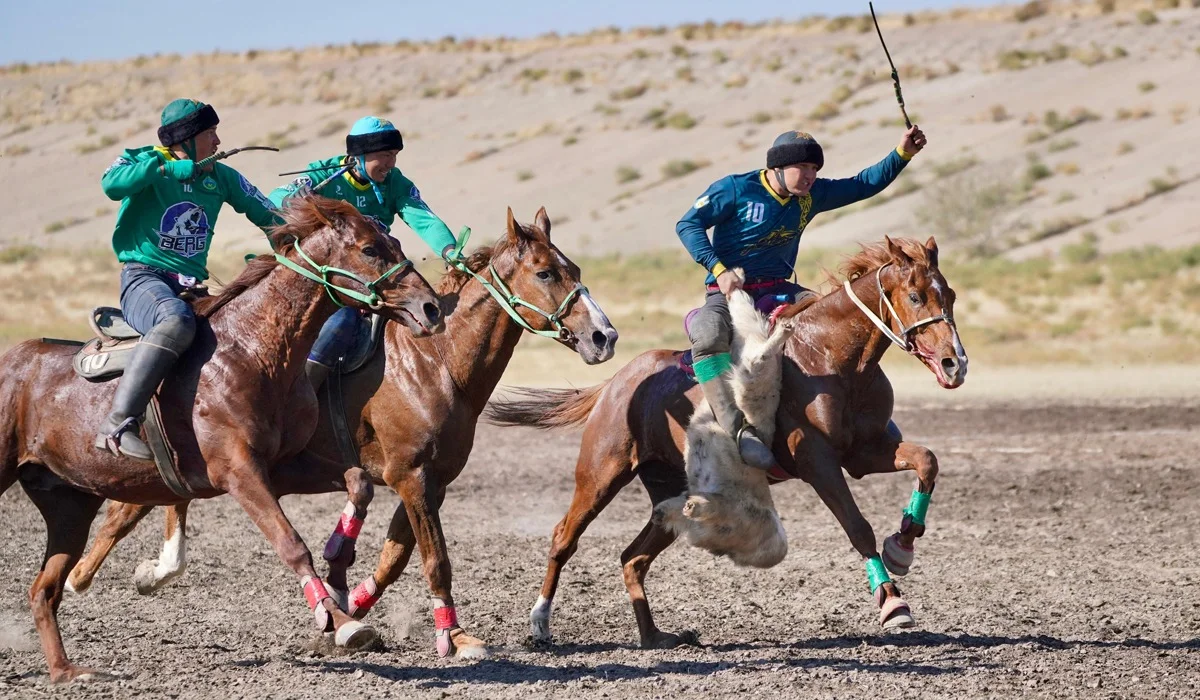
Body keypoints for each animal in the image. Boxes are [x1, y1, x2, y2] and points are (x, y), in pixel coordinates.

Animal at [0, 196, 446, 686]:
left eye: (395, 242)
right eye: (369, 249)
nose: (431, 308)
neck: (252, 351)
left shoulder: (286, 464)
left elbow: (359, 483)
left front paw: (341, 569)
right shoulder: (238, 472)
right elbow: (291, 543)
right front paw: (339, 620)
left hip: (70, 506)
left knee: (44, 589)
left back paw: (65, 671)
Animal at [63, 207, 619, 662]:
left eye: (576, 271)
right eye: (546, 272)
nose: (604, 336)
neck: (434, 362)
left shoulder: (430, 482)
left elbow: (395, 557)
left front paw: (349, 605)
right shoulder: (411, 476)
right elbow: (435, 559)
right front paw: (451, 637)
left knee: (136, 506)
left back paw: (110, 573)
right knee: (134, 508)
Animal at [484, 236, 964, 653]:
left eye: (951, 296)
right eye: (916, 296)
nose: (954, 364)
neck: (829, 359)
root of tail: (619, 381)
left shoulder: (865, 452)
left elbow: (927, 462)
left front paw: (903, 546)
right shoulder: (817, 461)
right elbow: (857, 526)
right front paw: (892, 601)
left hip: (669, 496)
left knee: (632, 558)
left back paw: (655, 637)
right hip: (600, 474)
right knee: (564, 537)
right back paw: (540, 624)